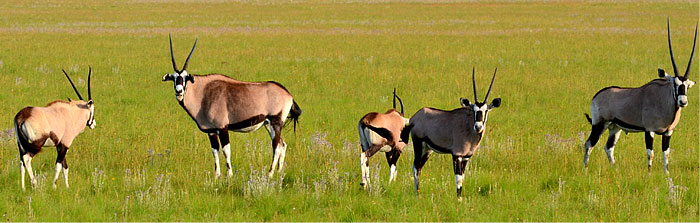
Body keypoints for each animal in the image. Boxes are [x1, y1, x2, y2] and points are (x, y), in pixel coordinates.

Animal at [163, 35, 302, 179]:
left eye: (185, 78)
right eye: (174, 78)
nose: (179, 91)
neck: (203, 92)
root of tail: (288, 94)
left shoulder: (222, 128)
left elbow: (226, 151)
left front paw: (229, 175)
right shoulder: (211, 131)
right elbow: (215, 151)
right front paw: (217, 176)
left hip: (276, 123)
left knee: (276, 147)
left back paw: (269, 174)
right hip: (268, 125)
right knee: (282, 145)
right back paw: (279, 172)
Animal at [402, 68, 500, 197]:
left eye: (486, 110)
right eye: (473, 110)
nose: (478, 126)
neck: (468, 128)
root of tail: (414, 118)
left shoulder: (466, 157)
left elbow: (462, 178)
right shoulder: (457, 155)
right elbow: (458, 179)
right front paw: (458, 199)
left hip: (427, 150)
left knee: (418, 167)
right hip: (418, 145)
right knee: (415, 168)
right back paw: (417, 195)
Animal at [584, 19, 696, 174]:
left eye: (687, 86)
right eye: (675, 83)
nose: (682, 101)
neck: (663, 100)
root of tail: (597, 96)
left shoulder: (668, 132)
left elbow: (666, 153)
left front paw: (666, 173)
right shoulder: (649, 130)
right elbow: (650, 153)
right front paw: (649, 173)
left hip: (615, 128)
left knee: (609, 147)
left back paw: (615, 169)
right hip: (599, 124)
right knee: (589, 144)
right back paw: (585, 169)